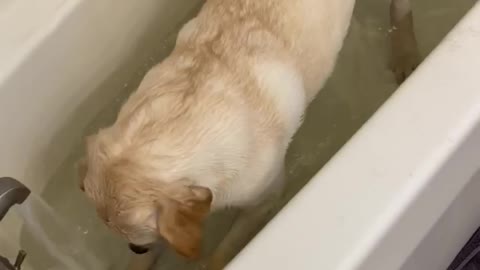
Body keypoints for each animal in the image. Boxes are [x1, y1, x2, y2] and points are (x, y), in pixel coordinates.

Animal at [78, 0, 420, 268]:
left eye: (136, 240)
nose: (135, 248)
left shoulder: (263, 199)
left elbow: (220, 254)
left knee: (401, 8)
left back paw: (405, 53)